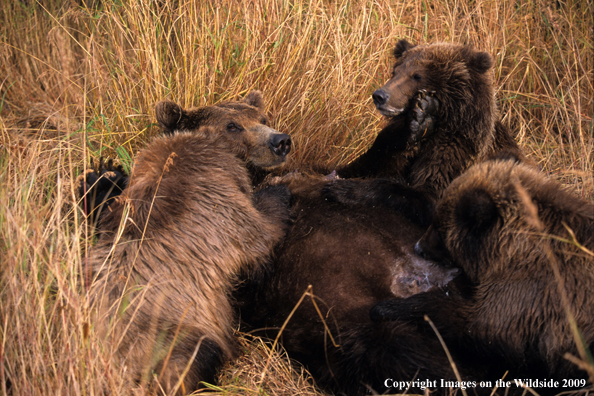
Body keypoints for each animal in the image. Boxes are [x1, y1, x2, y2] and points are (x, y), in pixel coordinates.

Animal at [86, 92, 294, 392]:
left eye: (263, 119)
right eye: (233, 126)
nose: (281, 141)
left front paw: (105, 173)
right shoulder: (219, 208)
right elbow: (262, 235)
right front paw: (281, 188)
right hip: (166, 329)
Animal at [238, 41, 520, 396]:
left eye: (417, 75)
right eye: (397, 71)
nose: (381, 95)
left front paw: (415, 123)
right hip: (349, 324)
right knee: (399, 348)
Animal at [370, 159, 592, 394]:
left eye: (439, 229)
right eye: (434, 222)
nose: (418, 246)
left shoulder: (530, 294)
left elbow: (476, 325)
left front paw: (388, 308)